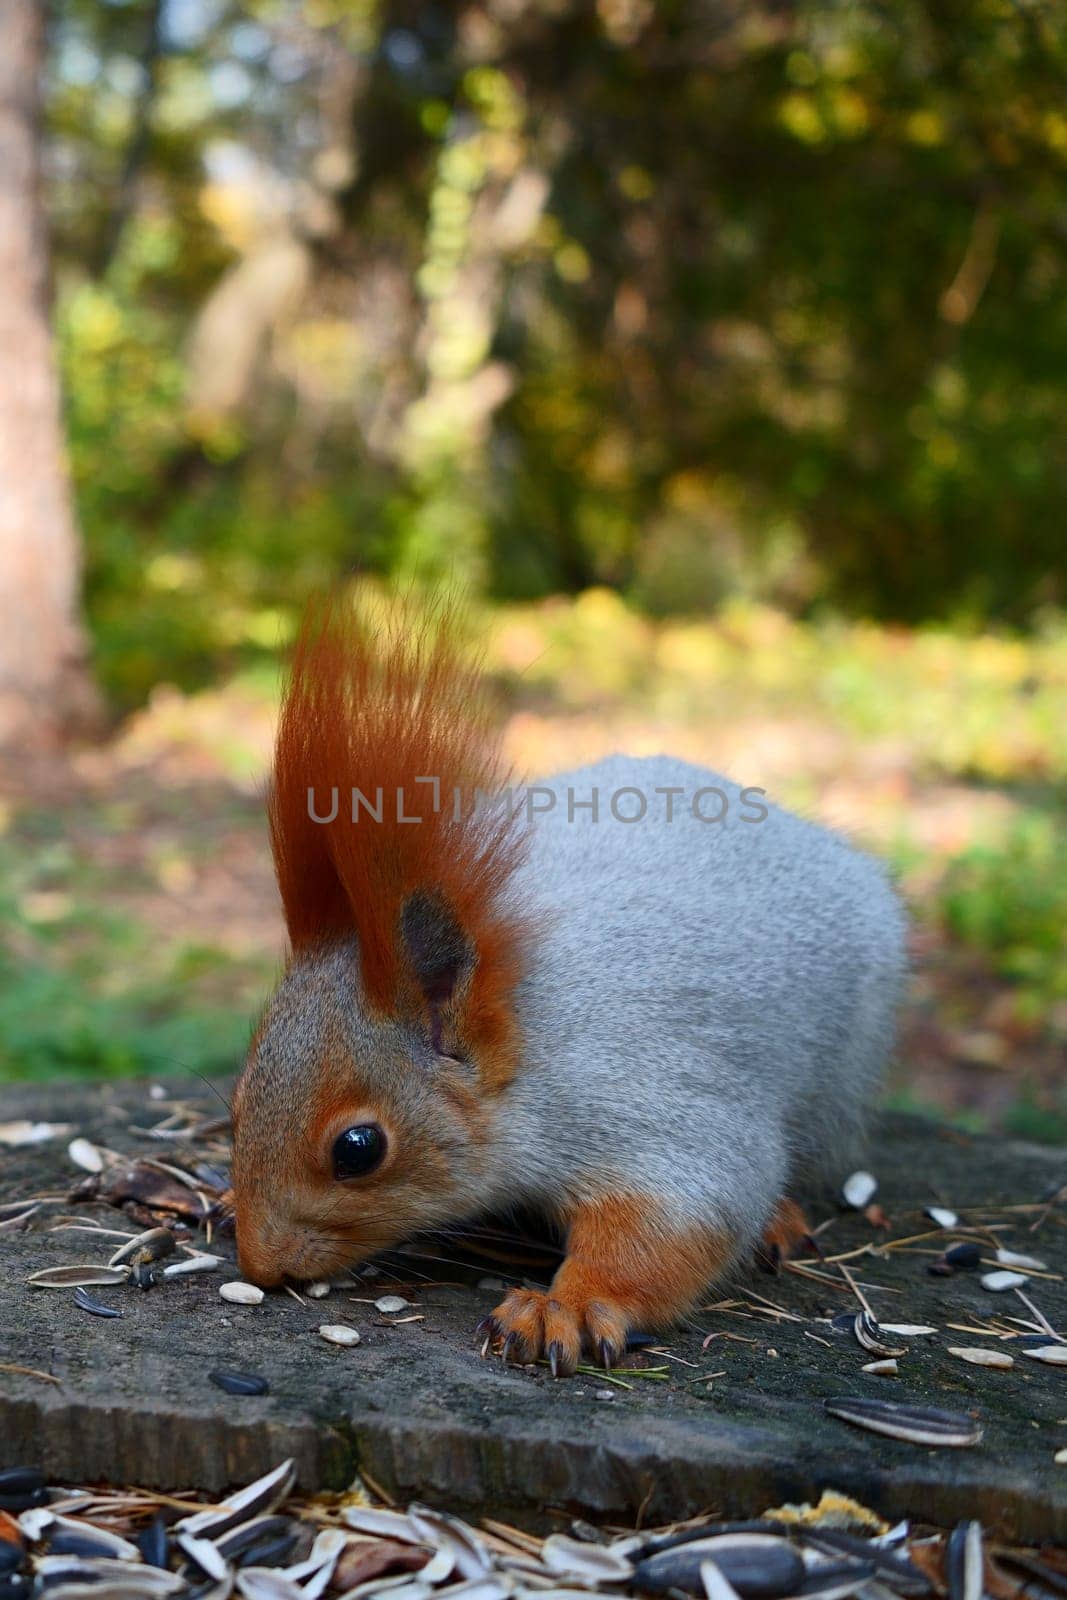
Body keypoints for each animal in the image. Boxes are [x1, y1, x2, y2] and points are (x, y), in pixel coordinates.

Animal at [230, 601, 908, 1376]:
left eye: (358, 1149)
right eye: (237, 1103)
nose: (259, 1265)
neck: (529, 1037)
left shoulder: (643, 1100)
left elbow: (686, 1212)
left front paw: (567, 1307)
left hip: (844, 1069)